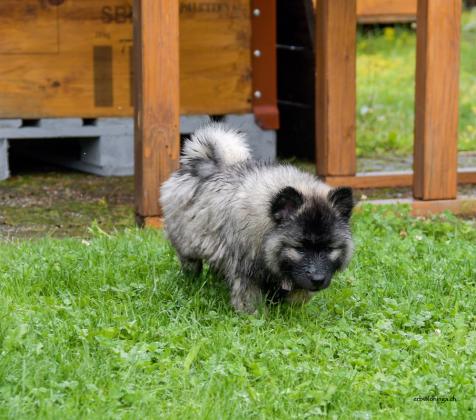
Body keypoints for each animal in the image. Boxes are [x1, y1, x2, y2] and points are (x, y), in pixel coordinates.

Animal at [160, 123, 354, 314]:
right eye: (299, 248)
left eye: (329, 248)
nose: (317, 279)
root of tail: (203, 163)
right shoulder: (246, 272)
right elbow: (250, 299)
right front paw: (255, 316)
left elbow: (296, 294)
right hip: (187, 247)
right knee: (192, 266)